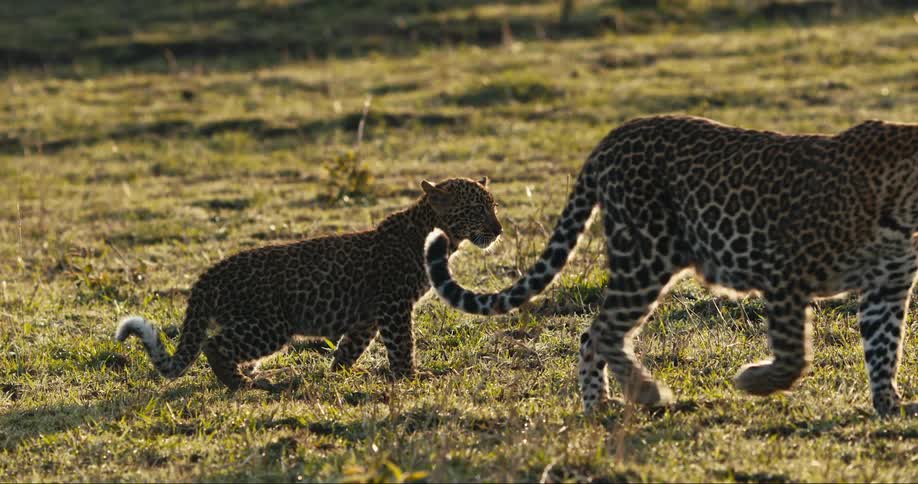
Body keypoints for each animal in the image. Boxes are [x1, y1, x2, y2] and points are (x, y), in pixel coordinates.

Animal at [116, 177, 501, 391]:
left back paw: (256, 376)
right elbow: (402, 344)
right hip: (271, 325)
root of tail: (206, 277)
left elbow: (351, 347)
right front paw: (410, 377)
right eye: (476, 209)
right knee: (215, 345)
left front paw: (339, 373)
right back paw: (244, 385)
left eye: (493, 206)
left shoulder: (368, 316)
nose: (498, 230)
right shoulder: (394, 305)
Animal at [424, 115, 918, 416]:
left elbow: (883, 350)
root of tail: (612, 137)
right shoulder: (785, 275)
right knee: (604, 330)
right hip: (647, 254)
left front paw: (889, 406)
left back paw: (598, 406)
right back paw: (647, 392)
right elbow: (794, 357)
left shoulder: (887, 290)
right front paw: (754, 381)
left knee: (591, 335)